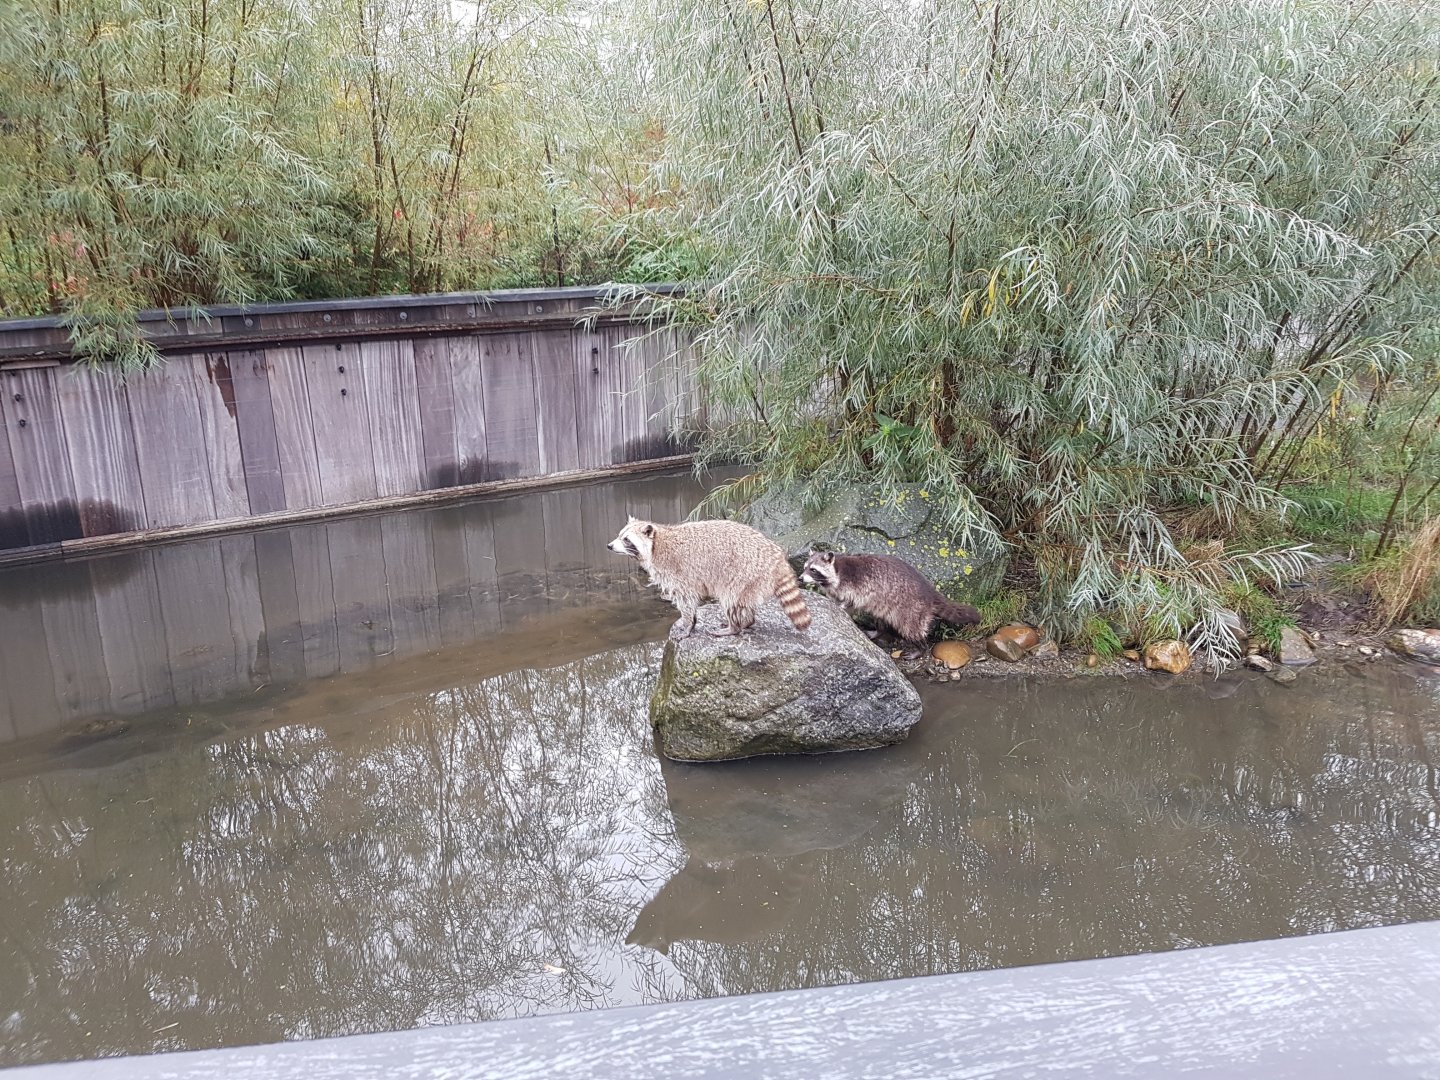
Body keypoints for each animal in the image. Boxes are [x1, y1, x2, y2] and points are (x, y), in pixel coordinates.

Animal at [608, 516, 811, 638]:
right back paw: (747, 622)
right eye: (620, 535)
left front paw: (688, 624)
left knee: (731, 600)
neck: (656, 543)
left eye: (626, 540)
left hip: (744, 573)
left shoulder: (677, 572)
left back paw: (735, 627)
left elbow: (686, 600)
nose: (609, 546)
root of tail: (777, 558)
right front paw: (691, 623)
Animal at [799, 550, 980, 644]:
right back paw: (879, 631)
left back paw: (920, 647)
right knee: (880, 618)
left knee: (911, 628)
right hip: (883, 605)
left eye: (813, 570)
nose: (800, 578)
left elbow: (851, 602)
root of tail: (930, 592)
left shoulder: (856, 587)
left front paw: (841, 607)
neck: (837, 570)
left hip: (912, 608)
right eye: (805, 567)